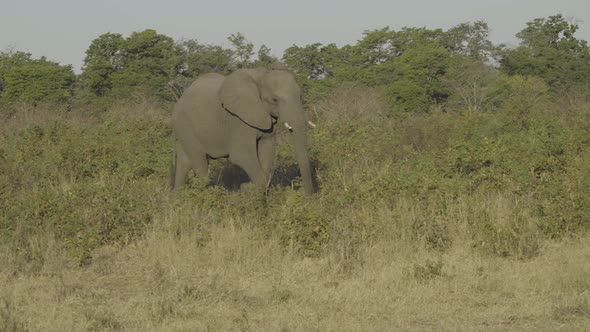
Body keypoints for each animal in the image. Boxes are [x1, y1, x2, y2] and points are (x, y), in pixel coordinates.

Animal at [170, 63, 316, 195]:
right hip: (185, 125)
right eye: (275, 99)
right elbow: (241, 155)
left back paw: (177, 198)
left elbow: (267, 150)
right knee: (200, 163)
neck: (260, 77)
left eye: (301, 96)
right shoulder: (237, 120)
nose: (306, 196)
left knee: (184, 162)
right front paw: (246, 188)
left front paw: (248, 188)